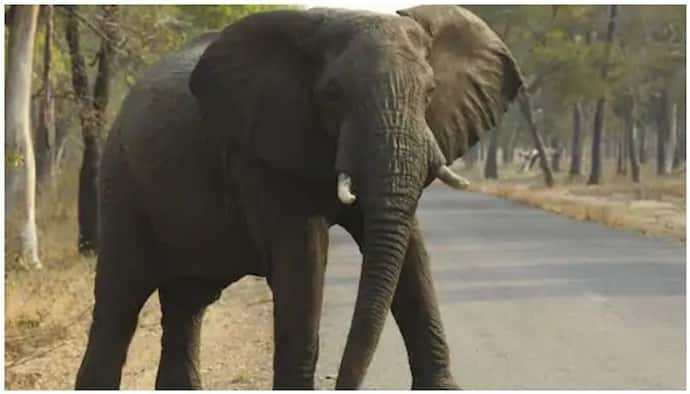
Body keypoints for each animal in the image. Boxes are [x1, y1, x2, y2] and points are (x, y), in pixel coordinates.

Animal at [75, 6, 520, 390]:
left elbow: (412, 255)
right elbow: (303, 260)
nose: (341, 384)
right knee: (119, 303)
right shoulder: (262, 151)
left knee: (186, 305)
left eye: (429, 92)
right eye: (333, 95)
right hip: (122, 182)